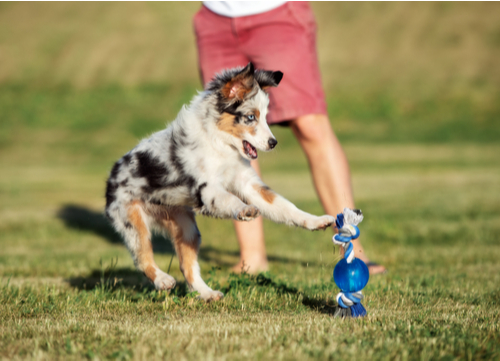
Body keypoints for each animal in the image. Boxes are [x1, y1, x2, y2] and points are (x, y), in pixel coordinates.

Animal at [103, 63, 334, 300]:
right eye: (250, 117)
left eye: (265, 117)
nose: (273, 143)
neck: (221, 144)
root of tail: (112, 175)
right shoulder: (208, 189)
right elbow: (230, 199)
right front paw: (245, 210)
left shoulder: (248, 184)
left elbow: (285, 207)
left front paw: (317, 221)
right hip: (132, 221)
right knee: (142, 257)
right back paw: (163, 280)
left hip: (186, 227)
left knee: (187, 265)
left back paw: (207, 294)